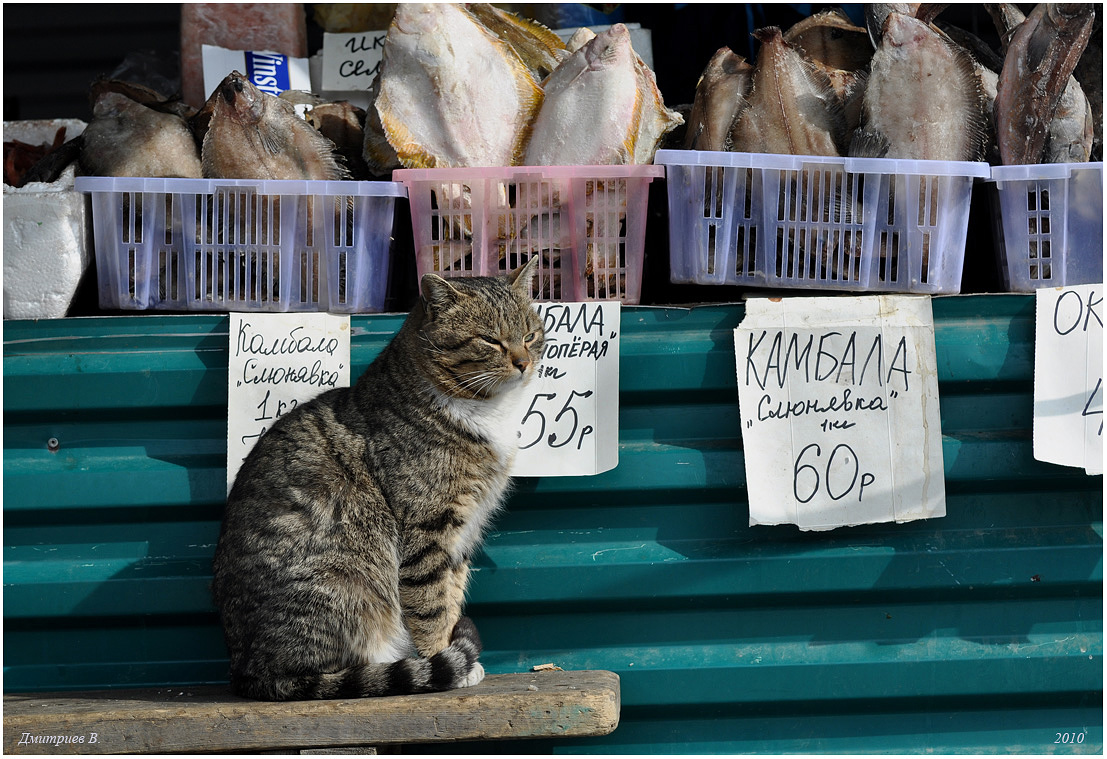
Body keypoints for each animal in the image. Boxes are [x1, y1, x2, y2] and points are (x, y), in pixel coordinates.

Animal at [211, 258, 544, 703]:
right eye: (489, 340)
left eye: (530, 334)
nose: (524, 363)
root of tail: (248, 671)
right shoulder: (427, 528)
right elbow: (431, 603)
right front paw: (442, 658)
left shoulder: (461, 534)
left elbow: (452, 595)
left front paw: (456, 653)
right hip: (342, 584)